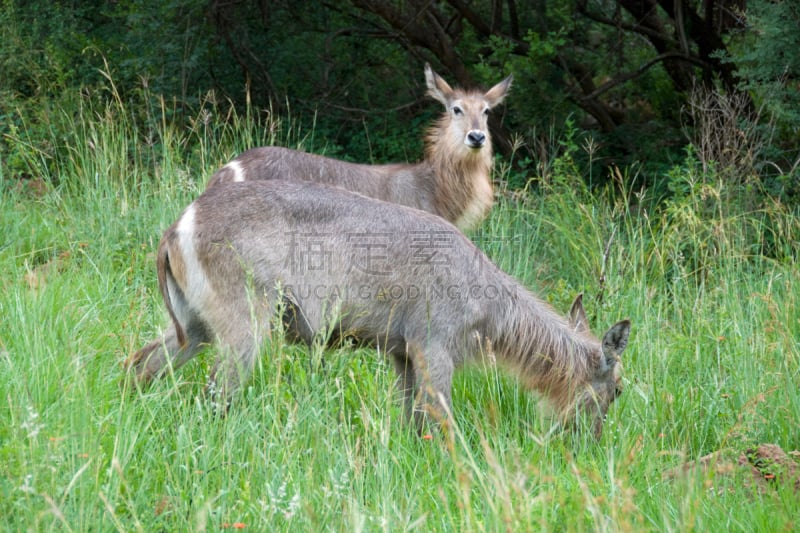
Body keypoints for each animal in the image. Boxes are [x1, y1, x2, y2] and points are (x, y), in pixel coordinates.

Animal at [126, 179, 632, 436]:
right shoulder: (434, 348)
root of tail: (179, 224)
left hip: (194, 327)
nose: (591, 442)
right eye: (618, 390)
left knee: (141, 365)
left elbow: (412, 420)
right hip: (244, 327)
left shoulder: (402, 355)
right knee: (216, 392)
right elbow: (442, 421)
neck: (484, 298)